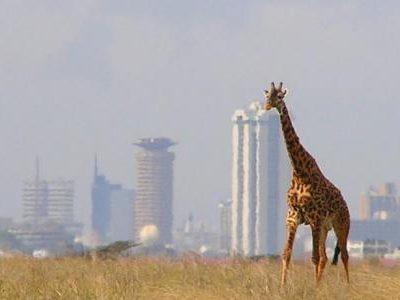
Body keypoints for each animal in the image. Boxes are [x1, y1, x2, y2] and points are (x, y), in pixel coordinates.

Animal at [264, 81, 352, 284]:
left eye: (279, 97)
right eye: (266, 95)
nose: (267, 106)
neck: (299, 172)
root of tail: (345, 204)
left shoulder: (314, 218)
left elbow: (314, 257)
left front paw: (314, 287)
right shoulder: (293, 217)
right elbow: (287, 254)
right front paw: (283, 286)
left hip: (341, 224)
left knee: (344, 255)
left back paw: (348, 286)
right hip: (325, 228)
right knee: (327, 257)